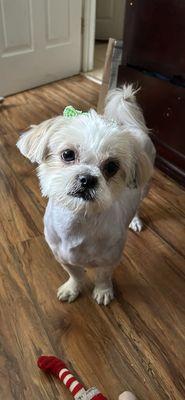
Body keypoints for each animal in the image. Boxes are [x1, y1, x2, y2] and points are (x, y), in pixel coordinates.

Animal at [16, 83, 155, 304]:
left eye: (112, 167)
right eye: (67, 154)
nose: (87, 179)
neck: (78, 219)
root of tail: (133, 127)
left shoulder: (110, 259)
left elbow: (103, 276)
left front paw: (103, 291)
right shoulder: (63, 257)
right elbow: (76, 275)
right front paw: (72, 289)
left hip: (144, 187)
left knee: (138, 205)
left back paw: (135, 220)